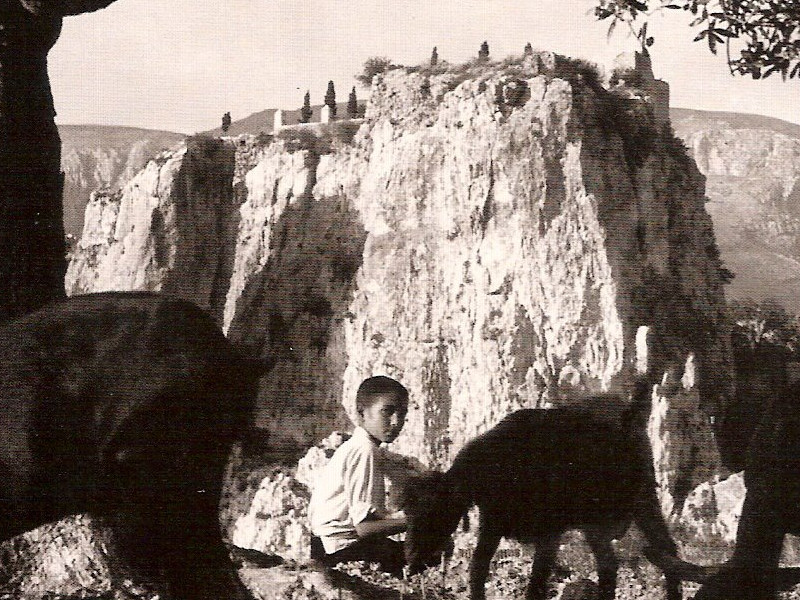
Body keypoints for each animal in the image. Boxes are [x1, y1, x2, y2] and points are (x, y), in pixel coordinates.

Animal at [404, 390, 680, 600]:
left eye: (431, 510)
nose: (410, 560)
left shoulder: (549, 530)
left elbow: (536, 582)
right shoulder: (493, 522)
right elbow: (478, 568)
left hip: (599, 515)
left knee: (611, 565)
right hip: (641, 498)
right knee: (664, 550)